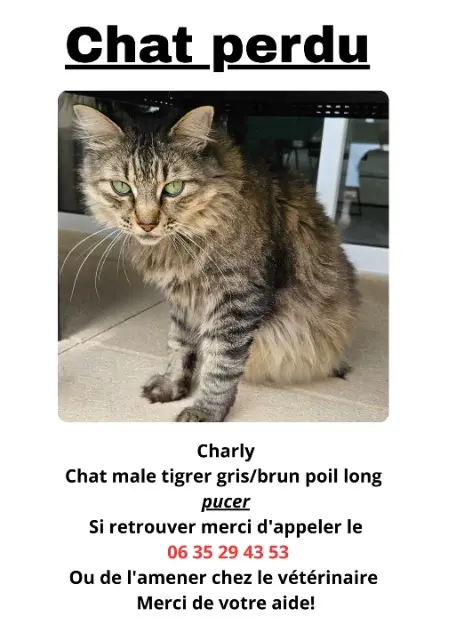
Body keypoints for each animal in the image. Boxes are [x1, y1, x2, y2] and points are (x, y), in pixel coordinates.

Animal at [73, 103, 360, 422]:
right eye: (121, 188)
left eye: (173, 188)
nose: (147, 224)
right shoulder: (183, 299)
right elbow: (178, 345)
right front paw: (173, 385)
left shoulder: (237, 299)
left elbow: (220, 365)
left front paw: (206, 411)